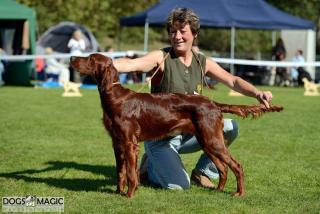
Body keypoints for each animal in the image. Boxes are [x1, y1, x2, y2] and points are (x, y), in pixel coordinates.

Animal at [70, 53, 282, 197]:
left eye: (91, 59)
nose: (71, 57)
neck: (115, 98)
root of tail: (213, 103)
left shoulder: (129, 143)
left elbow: (130, 172)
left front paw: (129, 195)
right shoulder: (117, 142)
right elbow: (120, 171)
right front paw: (118, 192)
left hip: (212, 140)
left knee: (237, 166)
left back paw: (239, 193)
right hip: (207, 140)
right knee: (222, 168)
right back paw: (218, 190)